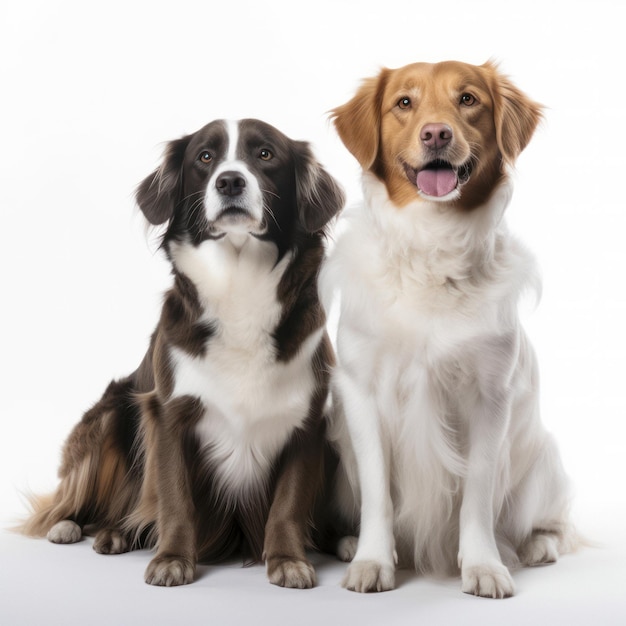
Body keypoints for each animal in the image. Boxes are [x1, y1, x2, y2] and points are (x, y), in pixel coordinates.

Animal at [20, 116, 342, 584]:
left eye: (265, 154)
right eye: (204, 158)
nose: (230, 181)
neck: (239, 283)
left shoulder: (308, 420)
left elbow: (289, 501)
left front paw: (288, 559)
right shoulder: (168, 414)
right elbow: (174, 497)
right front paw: (172, 557)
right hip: (111, 412)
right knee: (84, 500)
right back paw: (87, 528)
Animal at [322, 61, 576, 596]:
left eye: (468, 100)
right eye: (404, 102)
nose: (437, 133)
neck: (431, 244)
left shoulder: (490, 396)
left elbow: (476, 493)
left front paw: (482, 565)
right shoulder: (362, 393)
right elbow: (378, 493)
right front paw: (373, 560)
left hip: (543, 462)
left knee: (552, 522)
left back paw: (537, 546)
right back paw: (349, 543)